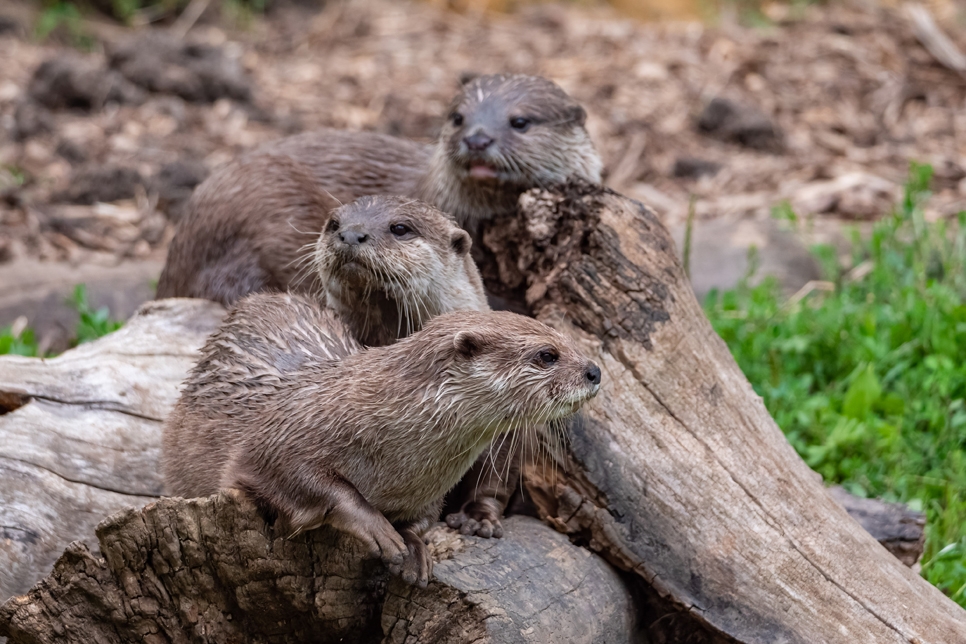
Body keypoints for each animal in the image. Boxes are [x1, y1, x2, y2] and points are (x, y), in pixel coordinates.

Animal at [164, 294, 604, 588]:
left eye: (567, 340)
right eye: (547, 354)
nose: (595, 371)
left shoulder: (429, 492)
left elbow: (422, 520)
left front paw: (414, 549)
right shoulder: (278, 439)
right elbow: (308, 480)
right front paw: (378, 528)